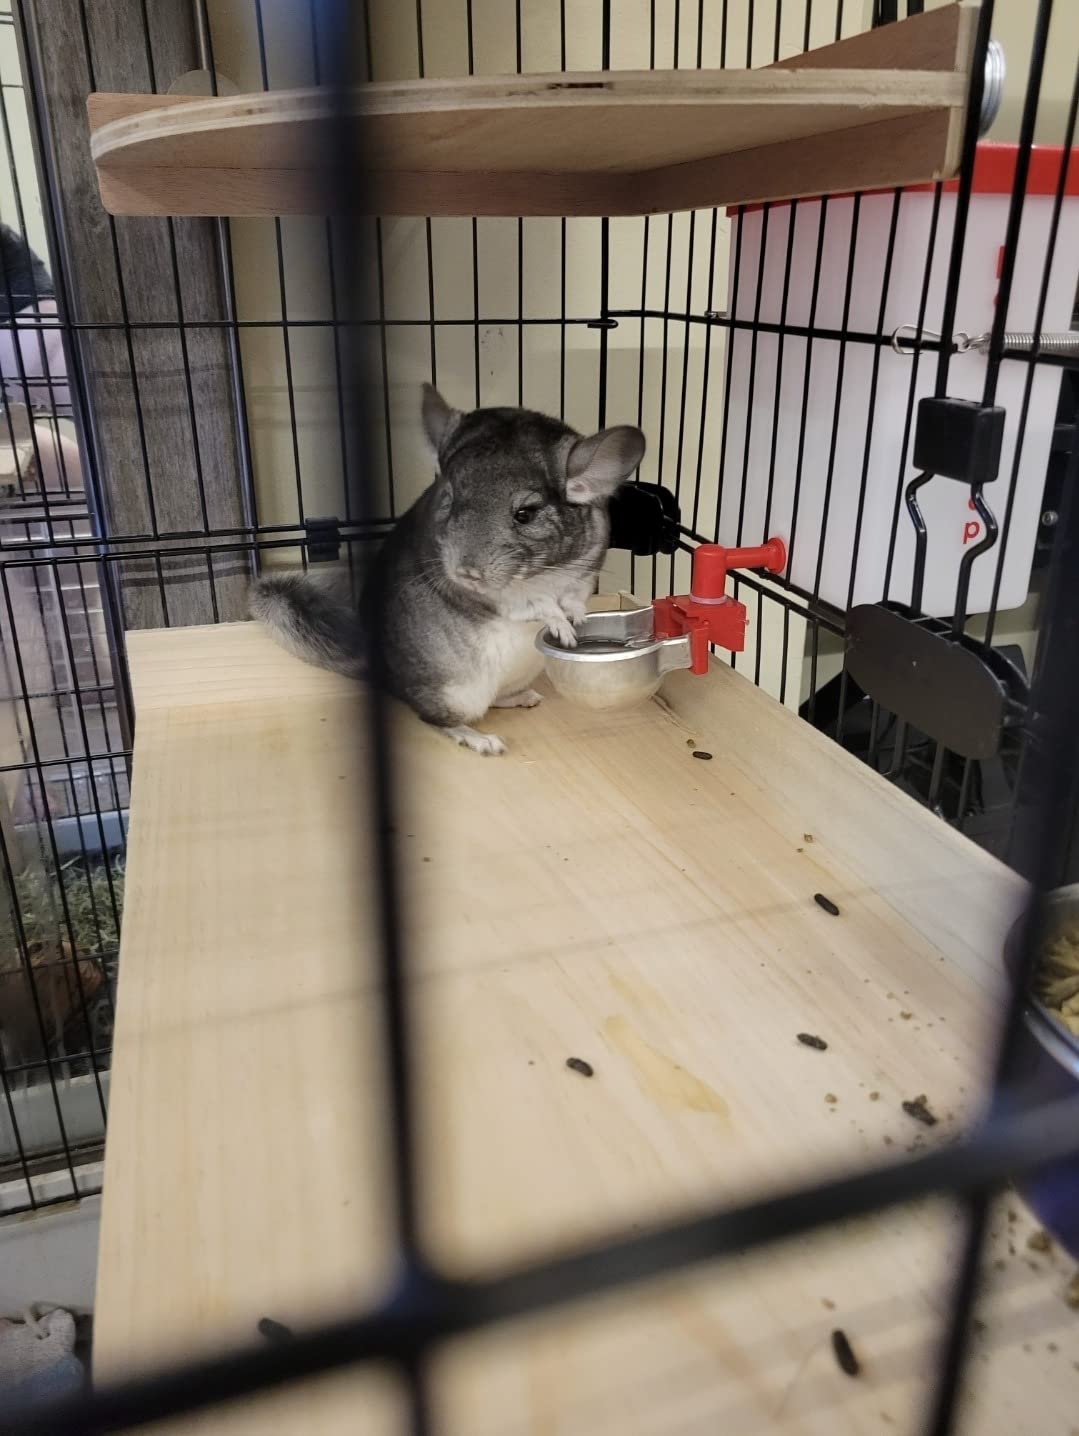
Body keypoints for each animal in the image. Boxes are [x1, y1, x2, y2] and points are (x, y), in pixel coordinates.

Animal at [250, 384, 646, 754]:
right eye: (449, 499)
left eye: (525, 514)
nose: (466, 573)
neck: (540, 574)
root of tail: (385, 674)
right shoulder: (494, 599)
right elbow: (530, 605)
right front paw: (561, 626)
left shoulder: (586, 568)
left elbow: (575, 595)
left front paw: (577, 617)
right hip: (455, 694)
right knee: (436, 719)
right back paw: (480, 740)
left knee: (496, 700)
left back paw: (523, 697)